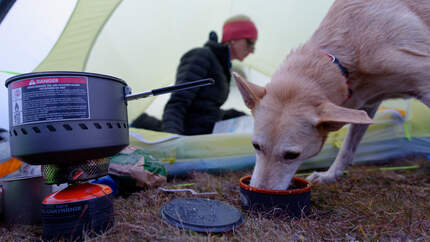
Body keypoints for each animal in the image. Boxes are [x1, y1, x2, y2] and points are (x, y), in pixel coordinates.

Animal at [233, 0, 430, 189]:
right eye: (255, 146)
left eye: (291, 155)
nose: (257, 191)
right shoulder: (367, 104)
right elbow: (347, 148)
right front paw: (330, 175)